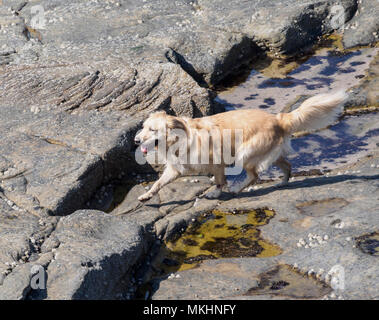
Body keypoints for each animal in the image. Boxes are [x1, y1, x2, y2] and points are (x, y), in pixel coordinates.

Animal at [134, 90, 348, 200]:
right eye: (143, 127)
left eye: (152, 130)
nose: (136, 140)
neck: (180, 140)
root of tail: (278, 119)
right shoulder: (175, 169)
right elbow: (158, 183)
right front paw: (147, 196)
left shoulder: (217, 162)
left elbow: (220, 181)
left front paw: (215, 193)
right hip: (271, 154)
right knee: (287, 165)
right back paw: (282, 182)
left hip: (244, 154)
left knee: (254, 176)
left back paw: (237, 189)